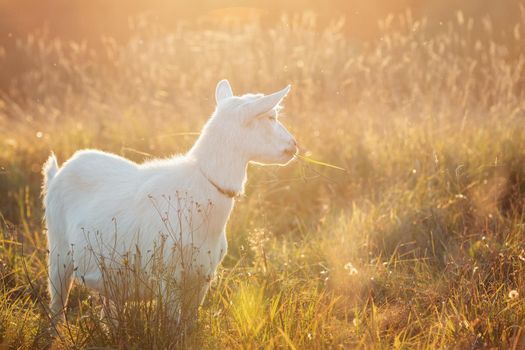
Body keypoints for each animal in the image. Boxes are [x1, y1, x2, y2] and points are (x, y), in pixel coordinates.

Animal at [42, 79, 294, 326]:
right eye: (271, 117)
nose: (294, 145)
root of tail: (59, 172)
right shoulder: (169, 278)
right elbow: (174, 327)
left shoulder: (201, 278)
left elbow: (190, 327)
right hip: (59, 255)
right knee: (56, 308)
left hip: (109, 276)